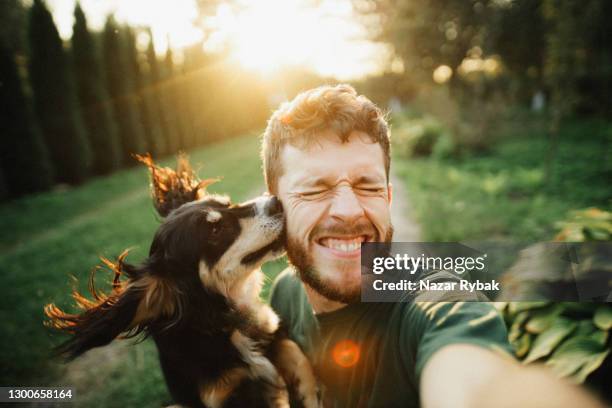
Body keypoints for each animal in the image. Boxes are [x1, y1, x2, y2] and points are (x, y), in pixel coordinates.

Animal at [44, 155, 320, 406]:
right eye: (215, 230)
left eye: (229, 203)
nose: (276, 201)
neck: (220, 318)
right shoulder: (221, 394)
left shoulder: (273, 334)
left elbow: (294, 353)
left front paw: (309, 392)